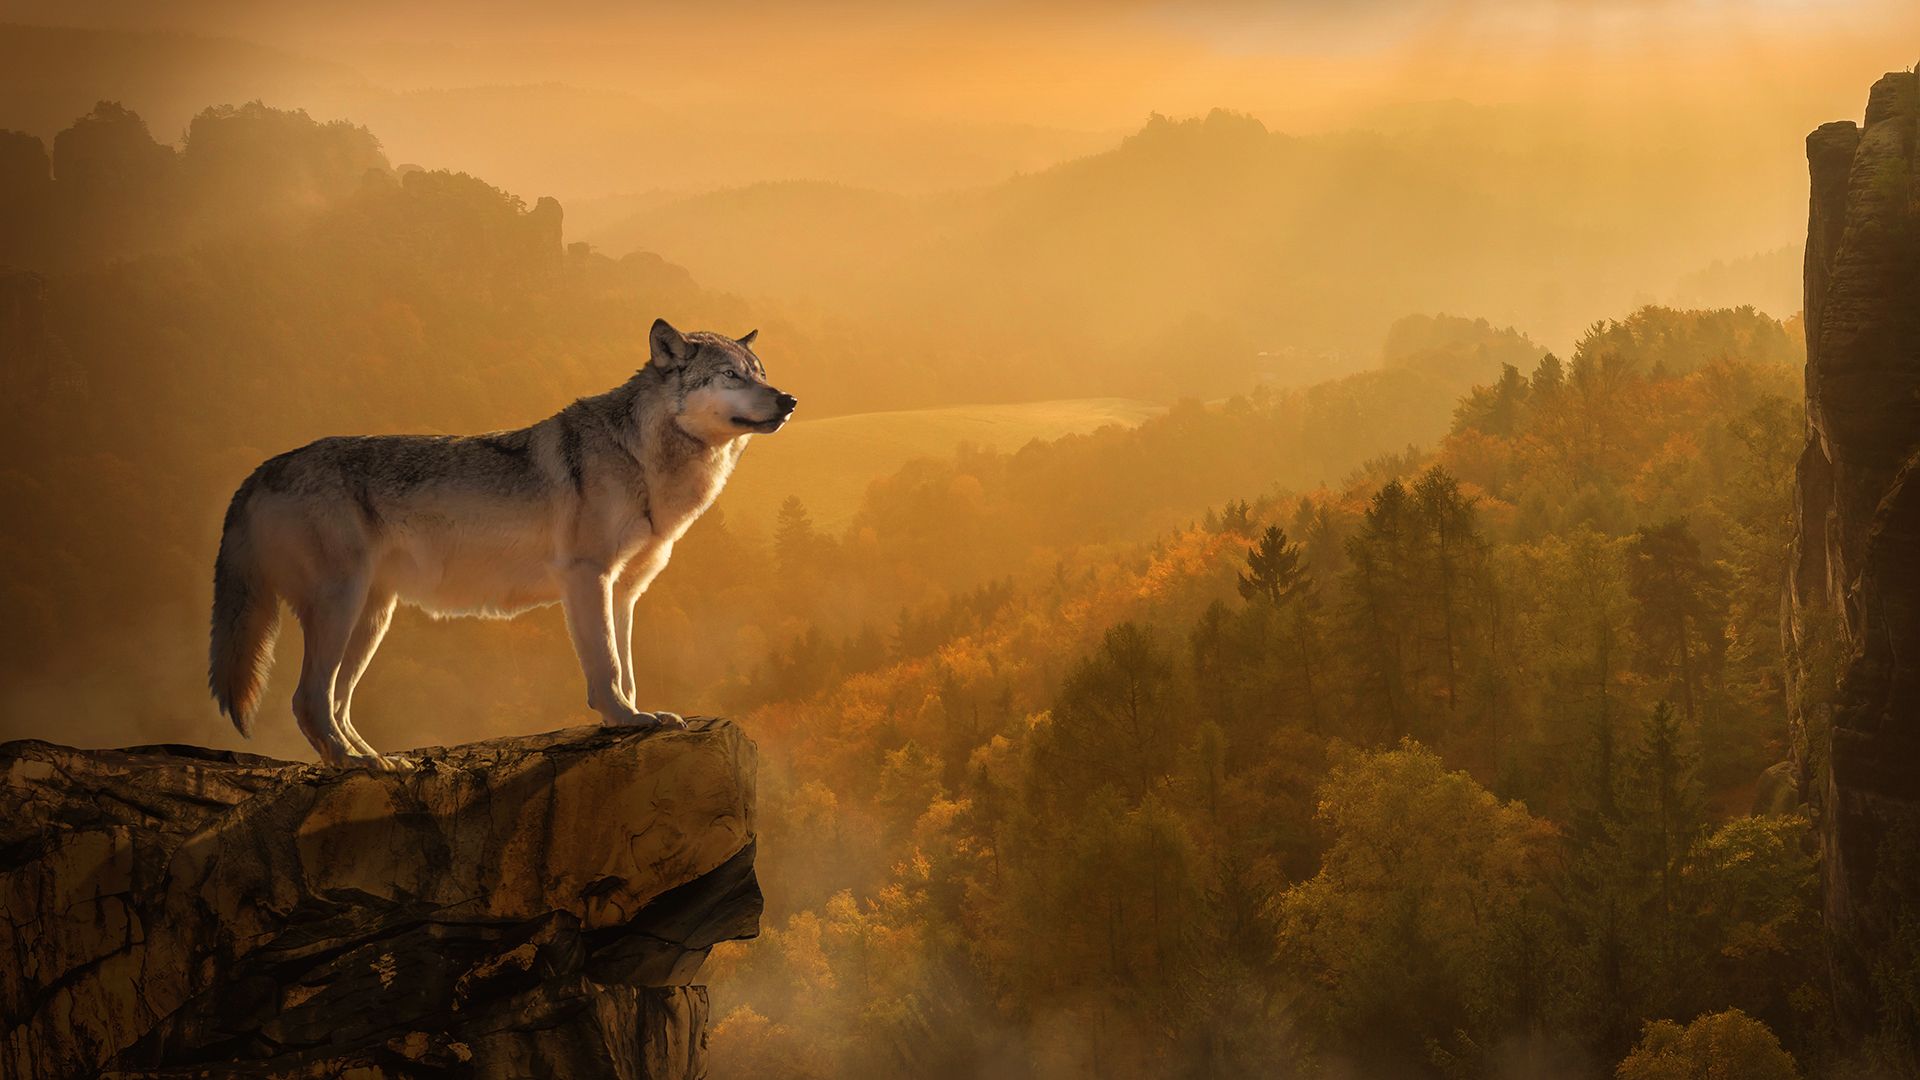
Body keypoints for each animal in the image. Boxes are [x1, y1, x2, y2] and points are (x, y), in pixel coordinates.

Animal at [208, 319, 794, 770]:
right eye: (731, 375)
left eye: (761, 373)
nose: (789, 399)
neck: (642, 457)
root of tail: (260, 470)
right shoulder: (587, 577)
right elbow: (606, 667)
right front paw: (624, 719)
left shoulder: (624, 592)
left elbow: (626, 669)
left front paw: (637, 716)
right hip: (342, 607)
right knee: (309, 700)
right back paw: (353, 764)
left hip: (372, 618)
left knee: (338, 702)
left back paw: (378, 761)